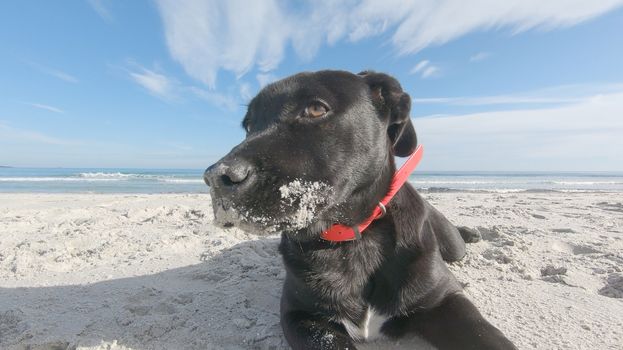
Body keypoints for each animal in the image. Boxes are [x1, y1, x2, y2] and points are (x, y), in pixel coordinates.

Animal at [205, 69, 516, 348]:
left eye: (315, 109)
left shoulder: (445, 299)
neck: (353, 238)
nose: (215, 177)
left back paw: (471, 232)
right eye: (249, 125)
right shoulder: (300, 316)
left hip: (452, 246)